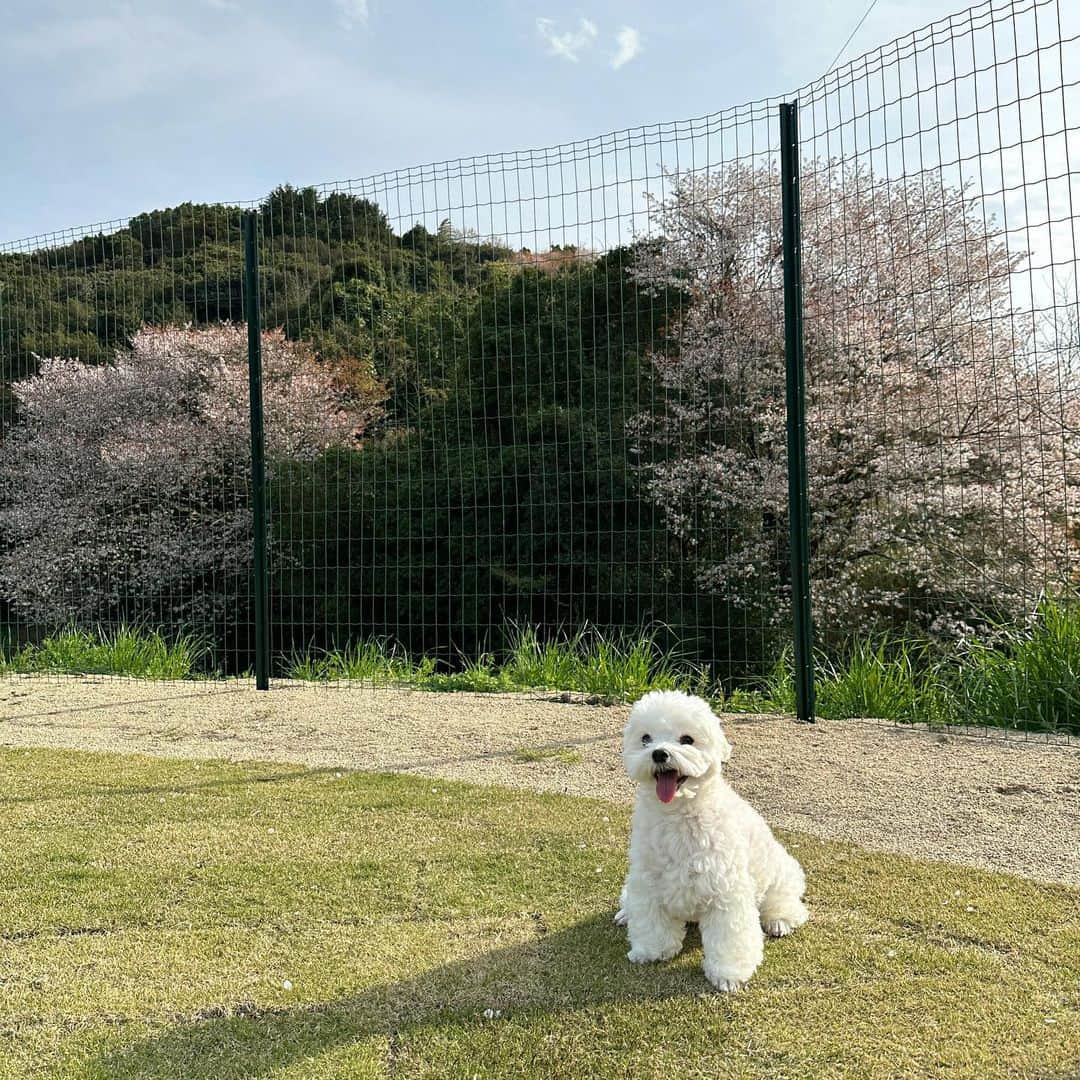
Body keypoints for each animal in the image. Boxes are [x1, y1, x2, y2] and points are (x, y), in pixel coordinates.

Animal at [622, 691, 807, 989]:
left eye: (687, 739)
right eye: (645, 738)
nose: (659, 753)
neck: (678, 814)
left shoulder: (726, 890)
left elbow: (730, 935)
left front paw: (729, 973)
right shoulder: (647, 880)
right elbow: (651, 920)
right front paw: (652, 950)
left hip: (780, 873)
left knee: (787, 901)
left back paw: (780, 919)